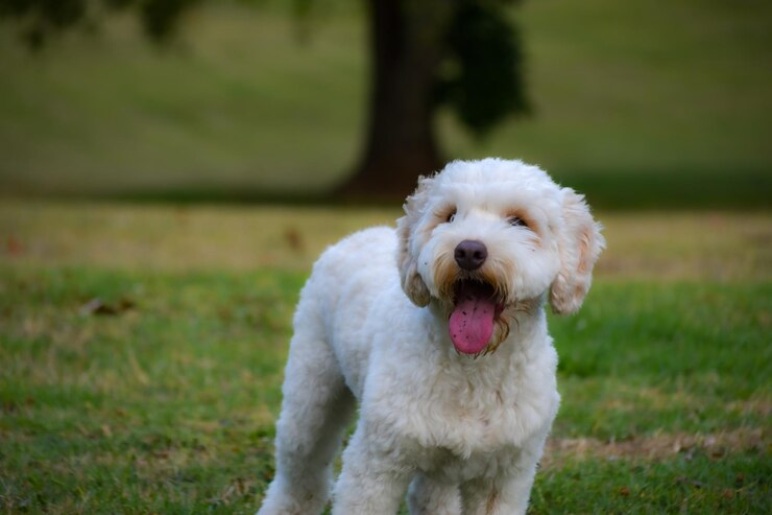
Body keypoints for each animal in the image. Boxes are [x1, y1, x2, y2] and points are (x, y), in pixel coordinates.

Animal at [256, 159, 608, 512]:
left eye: (519, 221)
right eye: (450, 215)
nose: (469, 251)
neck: (473, 369)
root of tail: (362, 232)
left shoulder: (504, 476)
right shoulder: (375, 465)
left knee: (429, 493)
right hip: (311, 395)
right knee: (301, 472)